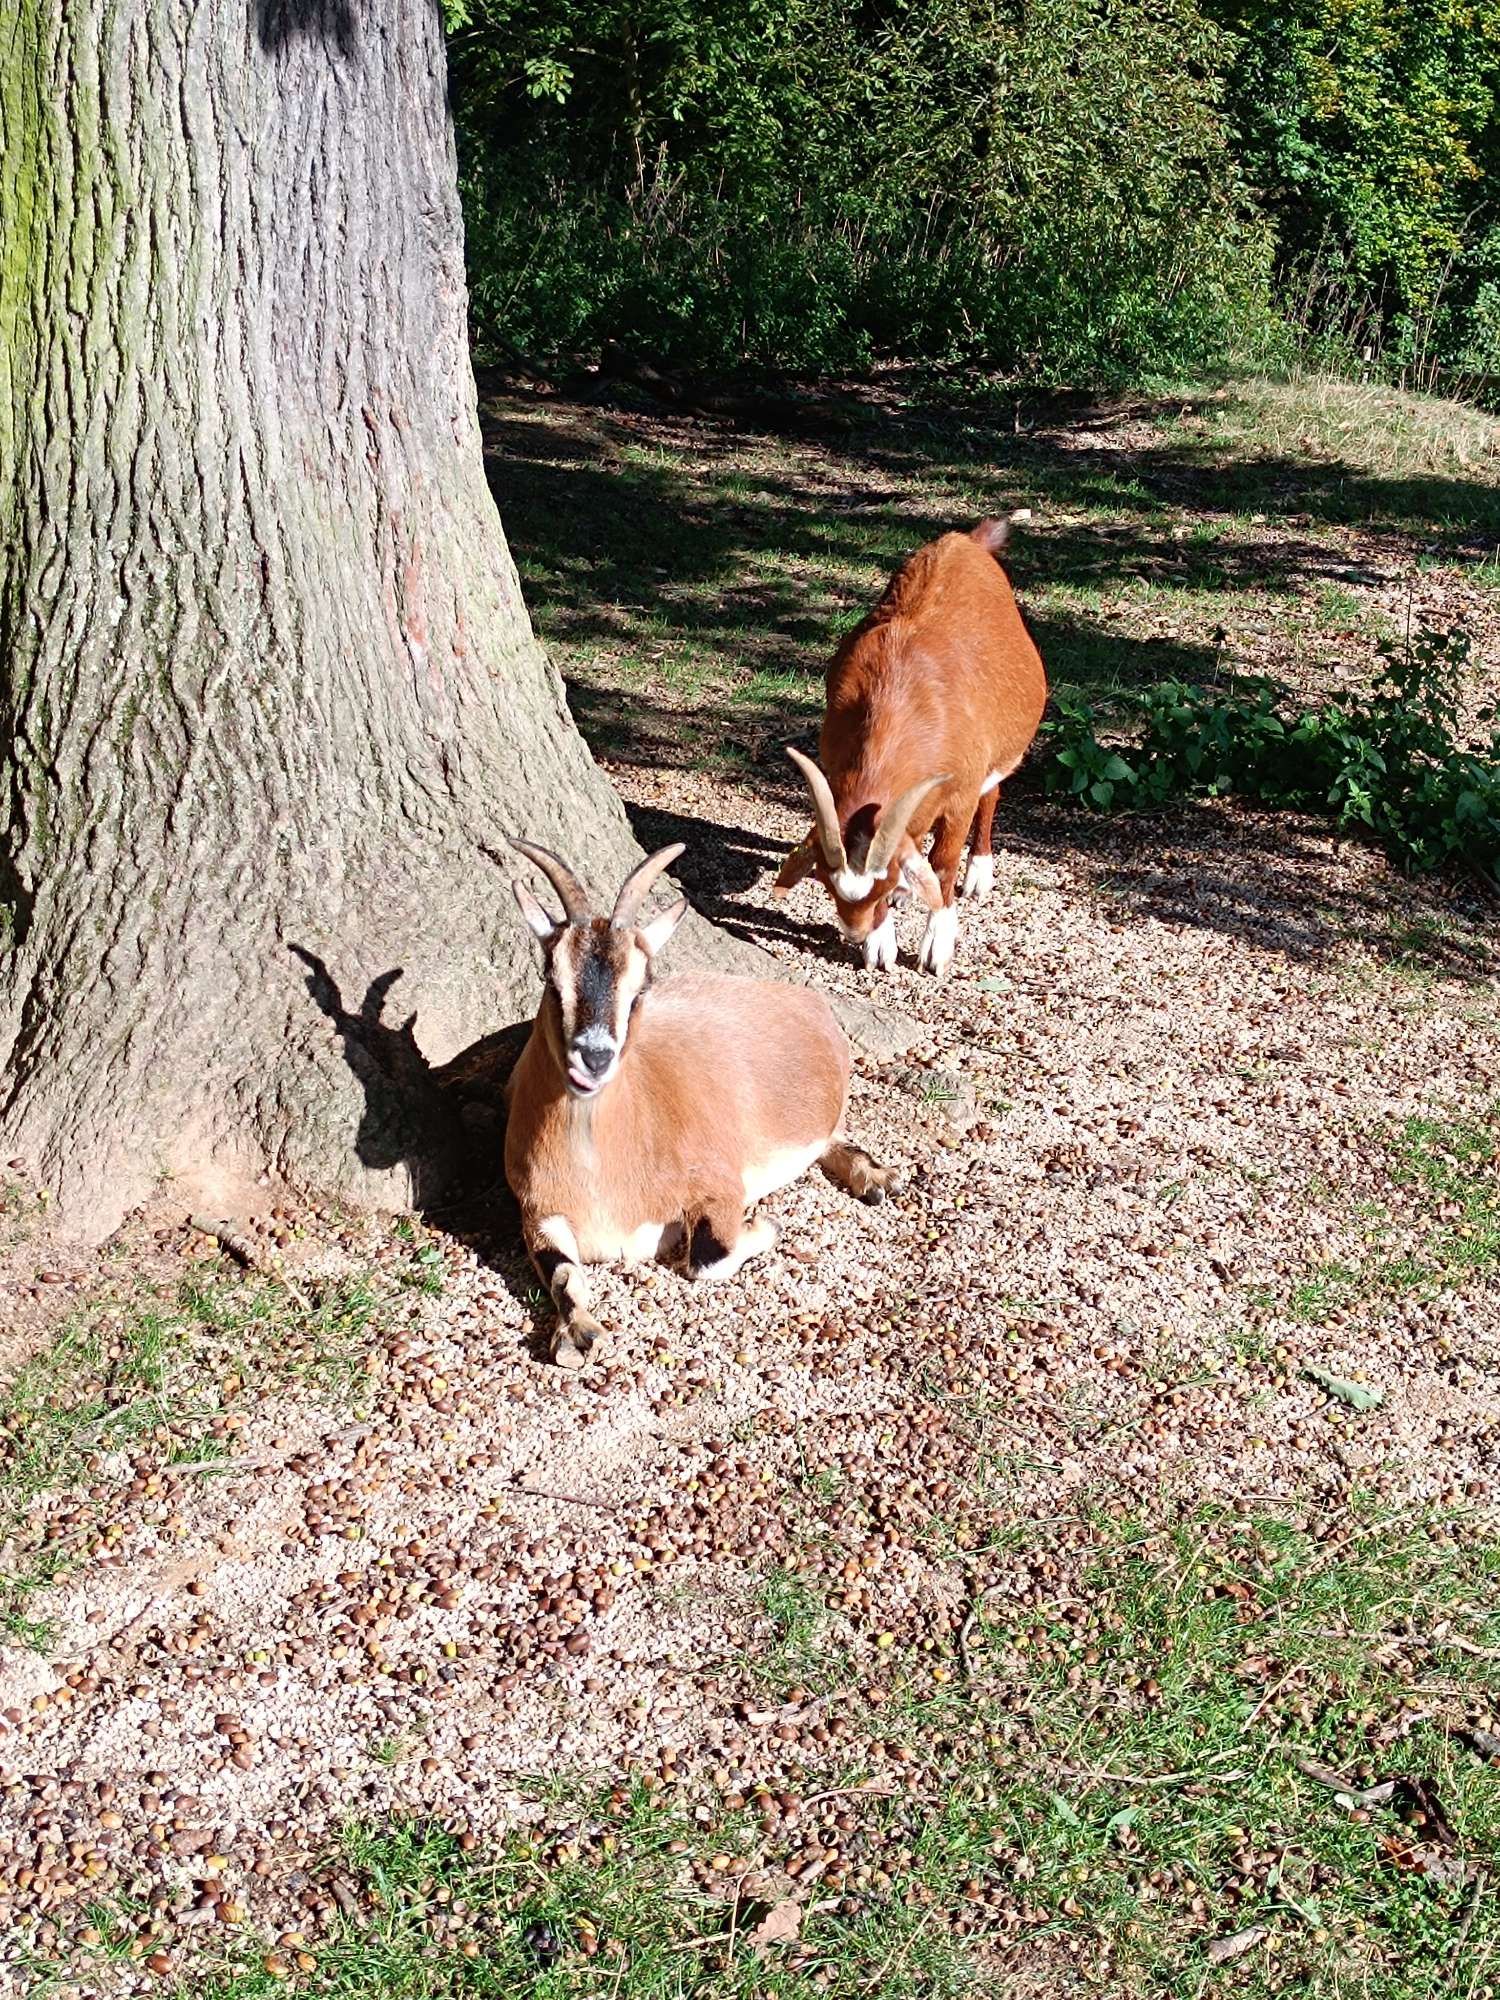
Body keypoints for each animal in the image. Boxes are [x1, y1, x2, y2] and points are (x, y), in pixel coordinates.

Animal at [506, 836, 904, 1368]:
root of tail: (807, 1001)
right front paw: (579, 1334)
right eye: (553, 981)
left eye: (639, 990)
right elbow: (566, 1276)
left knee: (834, 1139)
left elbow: (708, 1256)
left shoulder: (719, 1188)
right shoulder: (538, 1214)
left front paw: (767, 1224)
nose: (593, 1057)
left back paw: (876, 1179)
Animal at [776, 516, 1048, 976]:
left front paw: (937, 946)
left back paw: (979, 871)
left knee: (992, 795)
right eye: (827, 882)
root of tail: (965, 541)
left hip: (999, 751)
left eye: (881, 884)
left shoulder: (960, 794)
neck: (899, 696)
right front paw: (880, 944)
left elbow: (944, 865)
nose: (854, 932)